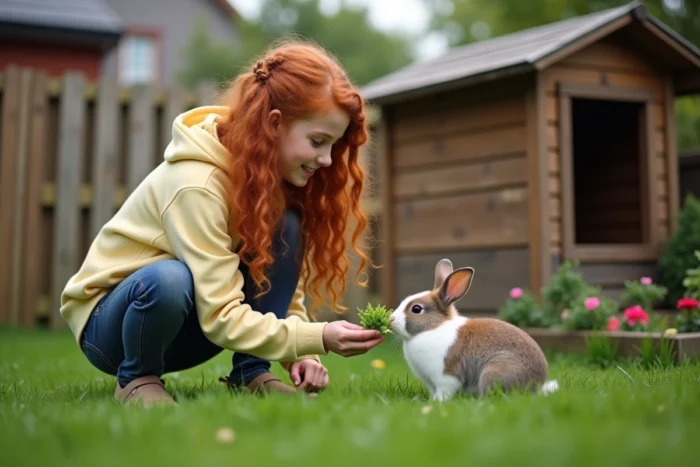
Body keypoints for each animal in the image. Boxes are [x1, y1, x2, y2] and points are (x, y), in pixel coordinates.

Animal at [389, 258, 559, 401]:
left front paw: (438, 403)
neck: (434, 327)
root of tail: (537, 385)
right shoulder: (431, 383)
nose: (391, 320)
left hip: (493, 372)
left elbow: (444, 391)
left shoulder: (446, 377)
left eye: (416, 309)